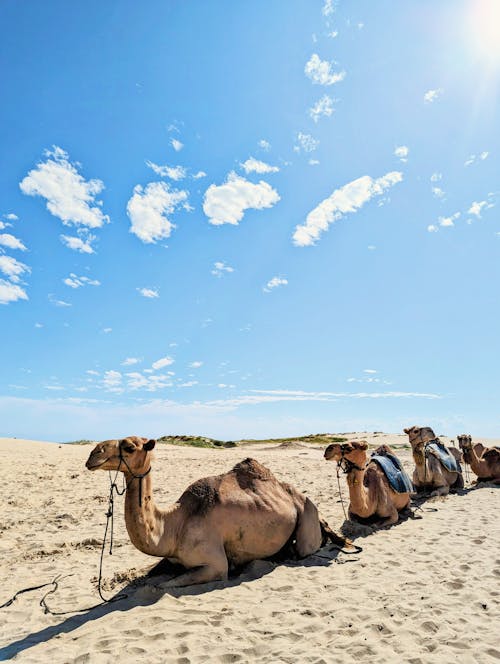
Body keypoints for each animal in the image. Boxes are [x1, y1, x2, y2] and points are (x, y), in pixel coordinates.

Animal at [85, 436, 352, 588]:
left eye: (129, 447)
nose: (93, 453)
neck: (174, 525)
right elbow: (147, 574)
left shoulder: (214, 564)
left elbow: (164, 585)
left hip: (307, 516)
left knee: (305, 549)